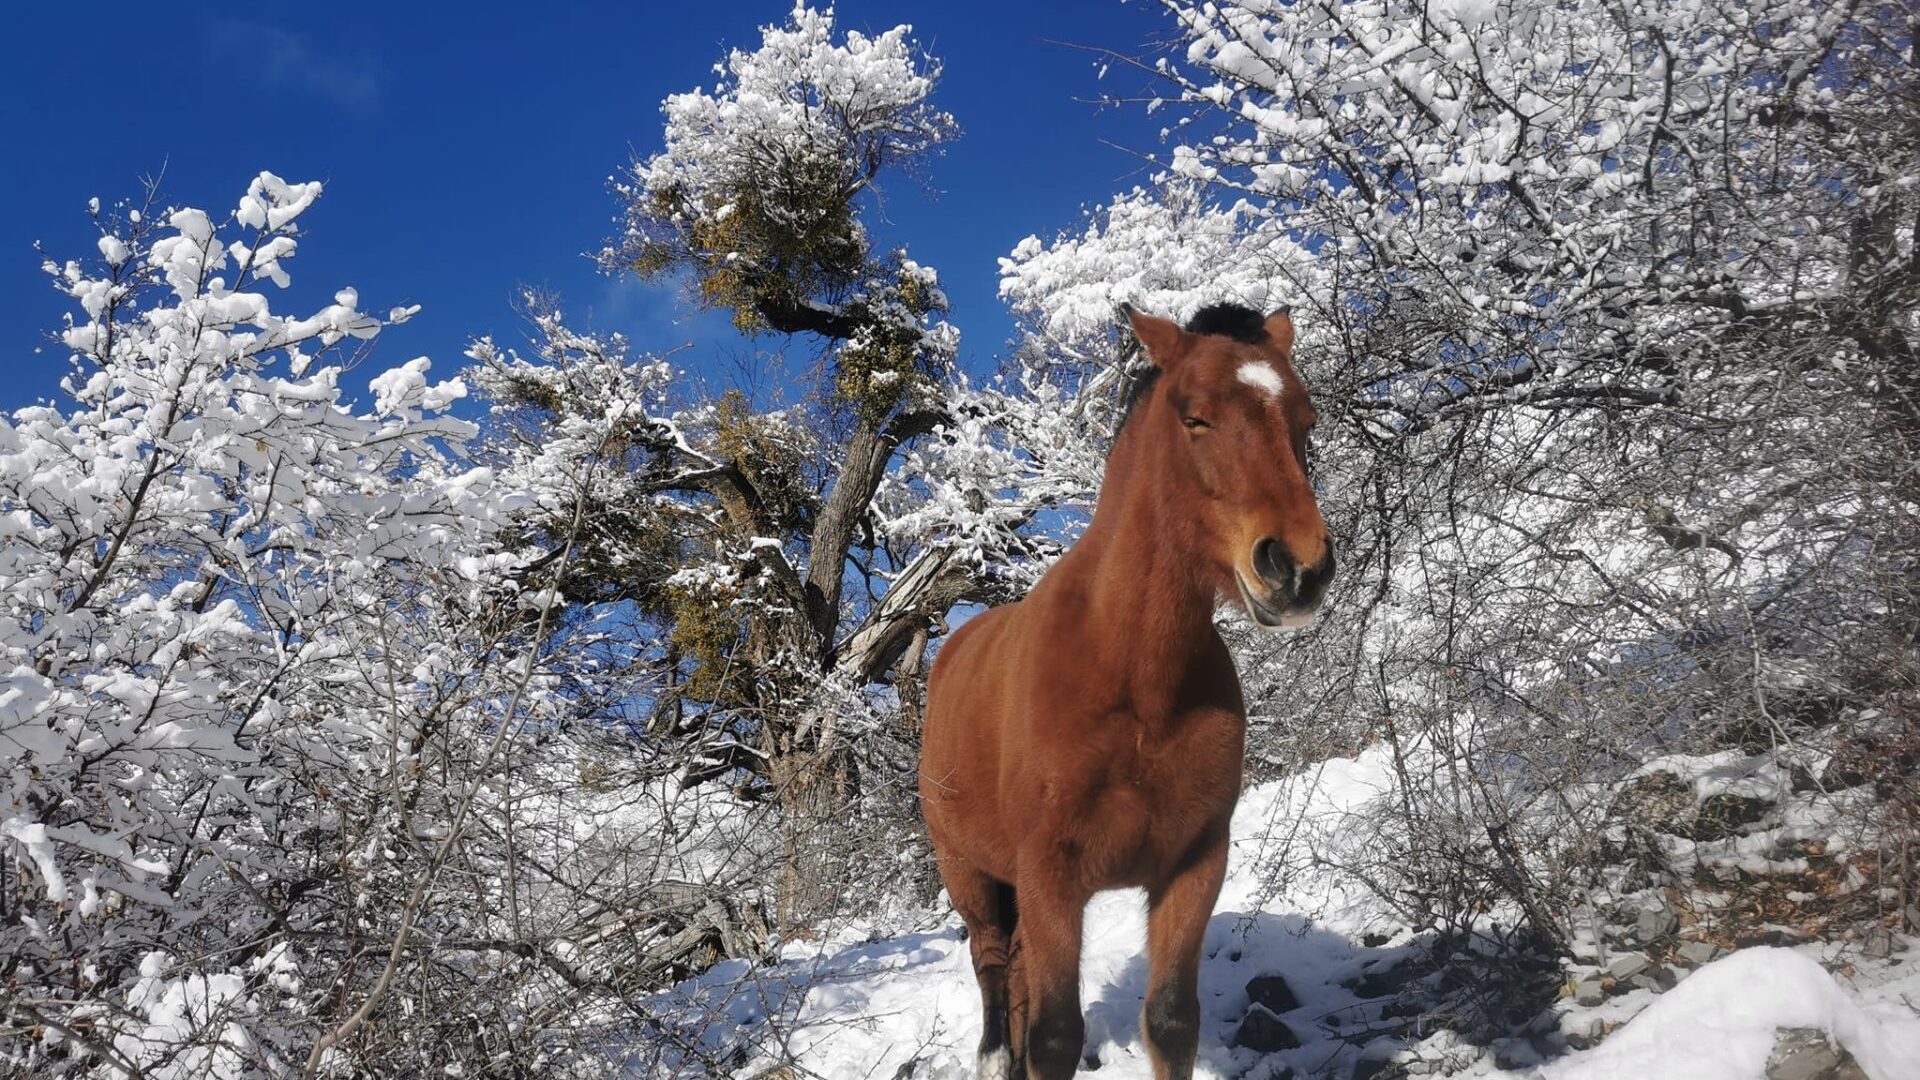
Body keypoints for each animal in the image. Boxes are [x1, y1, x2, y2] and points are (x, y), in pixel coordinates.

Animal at [921, 303, 1328, 1076]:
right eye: (1194, 417)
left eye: (1304, 420)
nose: (1297, 569)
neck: (1135, 683)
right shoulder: (1050, 881)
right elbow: (1054, 1035)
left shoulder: (1193, 867)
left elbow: (1170, 1020)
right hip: (971, 881)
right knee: (995, 982)